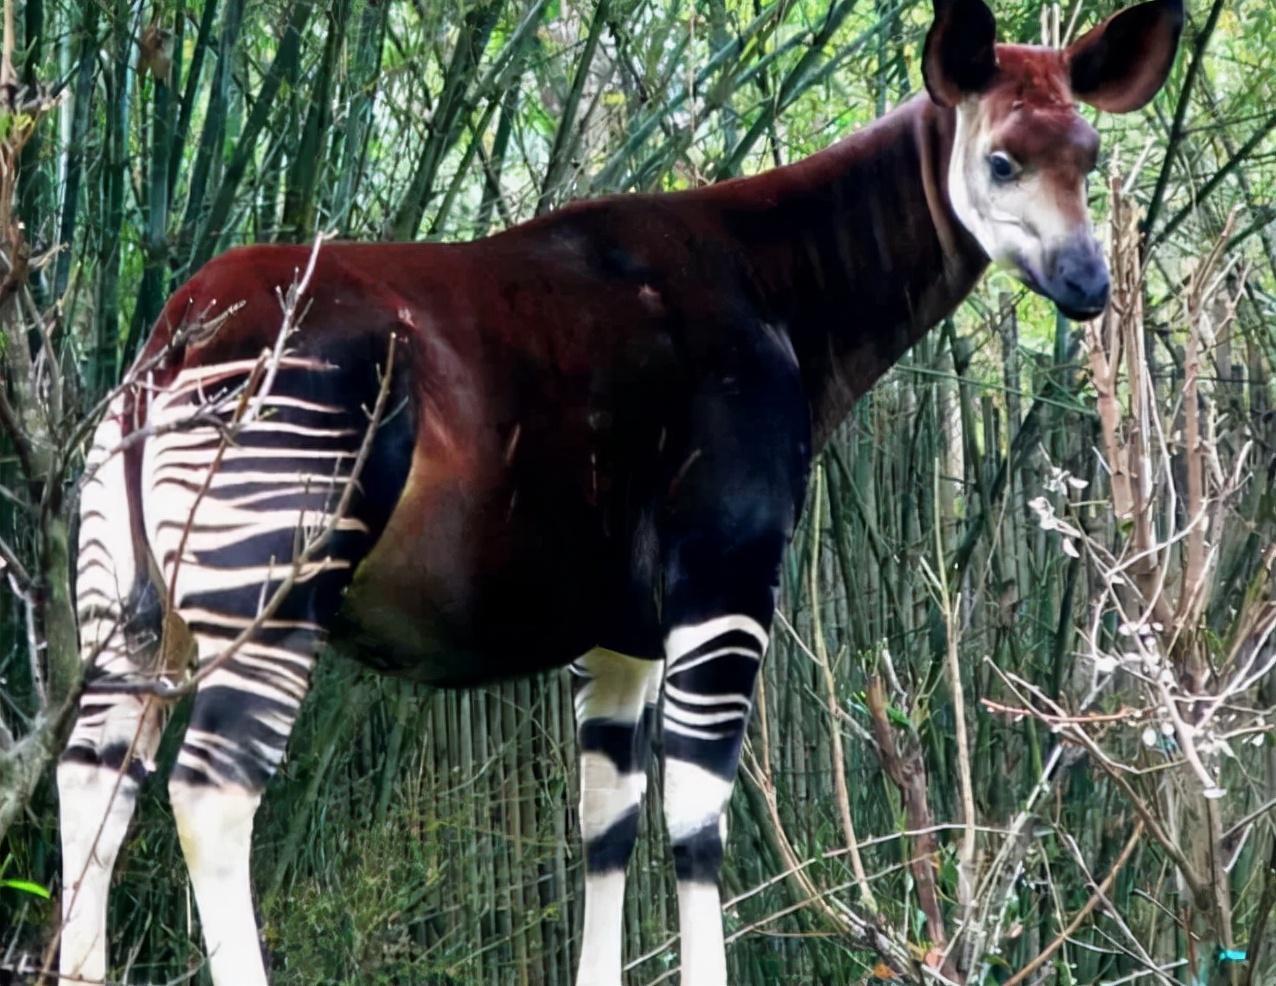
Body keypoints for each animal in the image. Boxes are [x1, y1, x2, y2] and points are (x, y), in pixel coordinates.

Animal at [56, 1, 1181, 982]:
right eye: (1002, 162)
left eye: (1090, 157)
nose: (1090, 285)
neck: (783, 293)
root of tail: (172, 340)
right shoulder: (725, 584)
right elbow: (697, 819)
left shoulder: (621, 627)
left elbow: (607, 824)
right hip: (276, 584)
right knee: (211, 796)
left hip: (130, 611)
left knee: (91, 783)